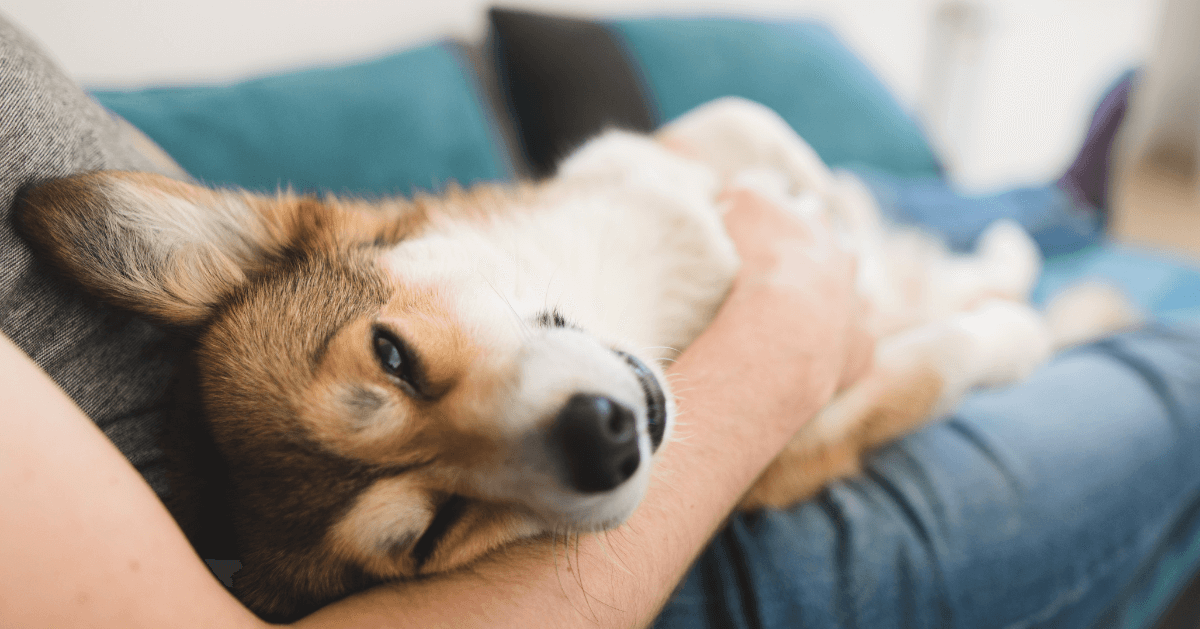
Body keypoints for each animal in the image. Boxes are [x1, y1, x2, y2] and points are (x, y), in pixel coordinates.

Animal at [11, 97, 1132, 619]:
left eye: (394, 353)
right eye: (433, 531)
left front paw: (830, 211)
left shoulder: (659, 157)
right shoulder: (812, 436)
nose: (602, 441)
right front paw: (1007, 333)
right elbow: (951, 354)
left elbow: (767, 144)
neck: (645, 311)